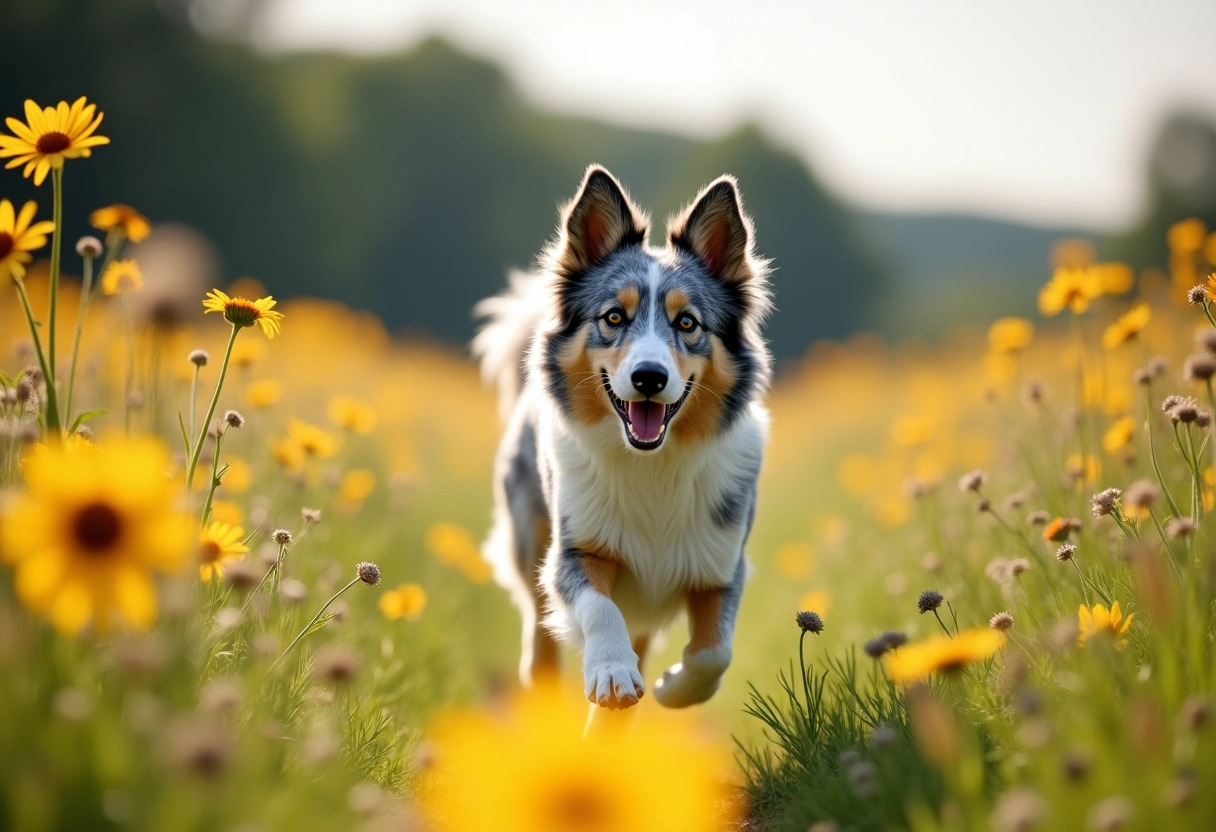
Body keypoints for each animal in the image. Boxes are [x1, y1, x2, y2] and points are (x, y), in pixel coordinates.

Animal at [474, 164, 768, 710]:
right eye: (614, 317)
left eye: (687, 322)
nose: (649, 377)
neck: (651, 465)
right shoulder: (572, 552)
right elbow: (599, 608)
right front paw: (611, 669)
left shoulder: (721, 565)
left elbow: (714, 653)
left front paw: (675, 688)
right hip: (530, 543)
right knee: (539, 645)